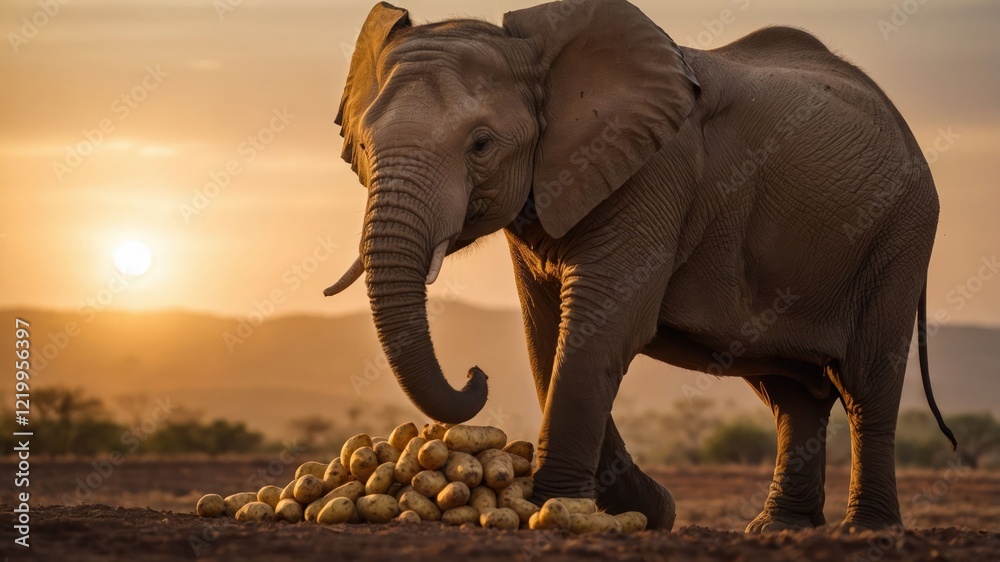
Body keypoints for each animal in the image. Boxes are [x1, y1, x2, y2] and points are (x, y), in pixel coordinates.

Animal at [323, 0, 956, 533]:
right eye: (362, 146)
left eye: (481, 145)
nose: (476, 375)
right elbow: (545, 335)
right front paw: (649, 511)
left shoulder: (654, 173)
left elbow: (600, 327)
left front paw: (563, 506)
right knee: (791, 393)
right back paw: (779, 529)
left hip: (900, 231)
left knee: (866, 381)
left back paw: (868, 530)